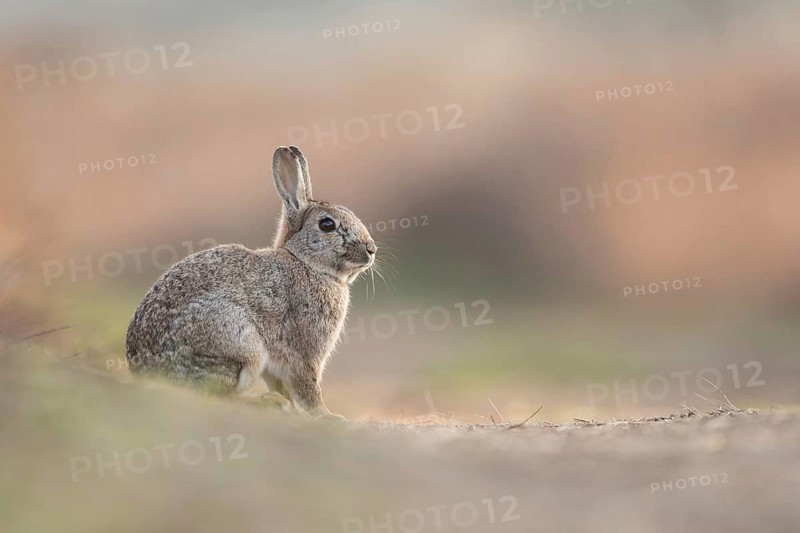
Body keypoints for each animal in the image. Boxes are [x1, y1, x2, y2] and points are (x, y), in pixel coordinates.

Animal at [125, 146, 376, 419]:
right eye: (327, 224)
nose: (371, 249)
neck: (306, 262)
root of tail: (149, 372)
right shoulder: (305, 352)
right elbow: (308, 388)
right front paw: (328, 416)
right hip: (240, 341)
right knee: (220, 395)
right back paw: (267, 403)